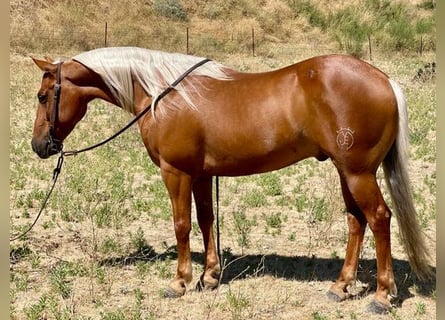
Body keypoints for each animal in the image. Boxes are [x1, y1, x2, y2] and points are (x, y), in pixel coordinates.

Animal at [30, 46, 430, 314]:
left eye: (43, 95)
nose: (39, 146)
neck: (162, 94)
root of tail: (384, 79)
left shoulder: (175, 172)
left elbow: (181, 225)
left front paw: (180, 282)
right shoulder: (202, 174)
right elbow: (206, 220)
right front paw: (209, 277)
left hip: (358, 173)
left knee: (378, 219)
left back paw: (381, 296)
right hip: (346, 172)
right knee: (355, 221)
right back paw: (341, 286)